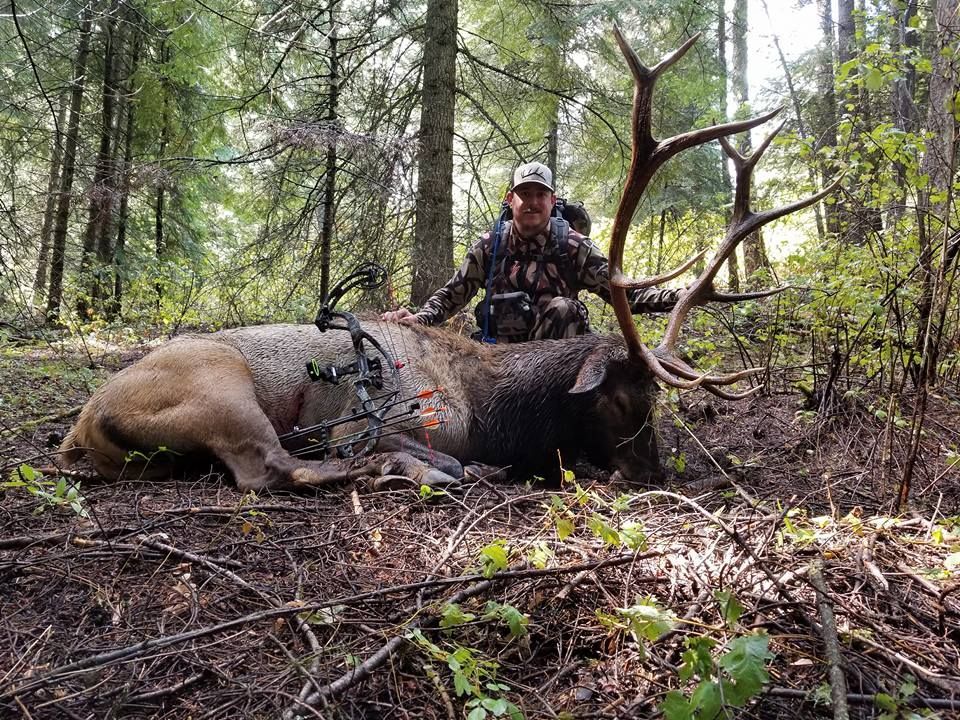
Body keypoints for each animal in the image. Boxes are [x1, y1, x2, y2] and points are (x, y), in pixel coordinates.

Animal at [59, 28, 835, 492]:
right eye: (619, 397)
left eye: (661, 402)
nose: (656, 474)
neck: (498, 411)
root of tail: (80, 428)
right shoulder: (373, 419)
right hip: (220, 387)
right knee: (274, 468)